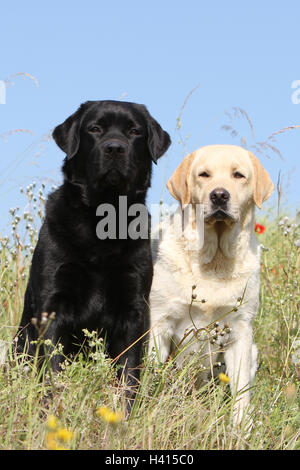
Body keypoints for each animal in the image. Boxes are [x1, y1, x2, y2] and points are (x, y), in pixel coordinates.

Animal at [16, 100, 171, 404]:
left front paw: (123, 412)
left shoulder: (133, 310)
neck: (103, 222)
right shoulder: (52, 303)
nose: (114, 148)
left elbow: (128, 375)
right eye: (95, 129)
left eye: (134, 131)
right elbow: (51, 369)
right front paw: (50, 408)